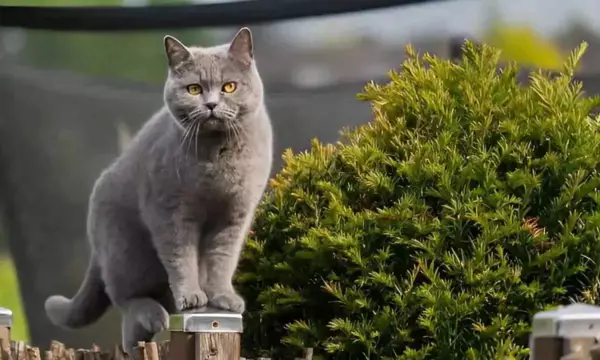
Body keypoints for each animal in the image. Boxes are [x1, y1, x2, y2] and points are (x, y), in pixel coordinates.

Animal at [43, 28, 274, 354]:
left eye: (229, 87)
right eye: (194, 89)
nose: (211, 104)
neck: (216, 159)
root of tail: (97, 250)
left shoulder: (234, 215)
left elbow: (222, 259)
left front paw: (223, 298)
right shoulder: (169, 211)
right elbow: (181, 256)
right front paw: (191, 296)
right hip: (127, 252)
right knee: (128, 302)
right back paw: (152, 318)